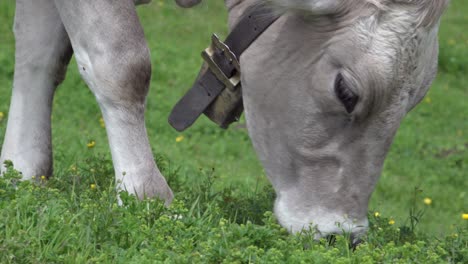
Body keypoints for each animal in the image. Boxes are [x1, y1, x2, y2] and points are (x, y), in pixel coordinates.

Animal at [1, 0, 452, 241]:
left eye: (416, 100)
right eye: (346, 91)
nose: (342, 235)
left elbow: (40, 51)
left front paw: (20, 169)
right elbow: (124, 63)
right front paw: (147, 198)